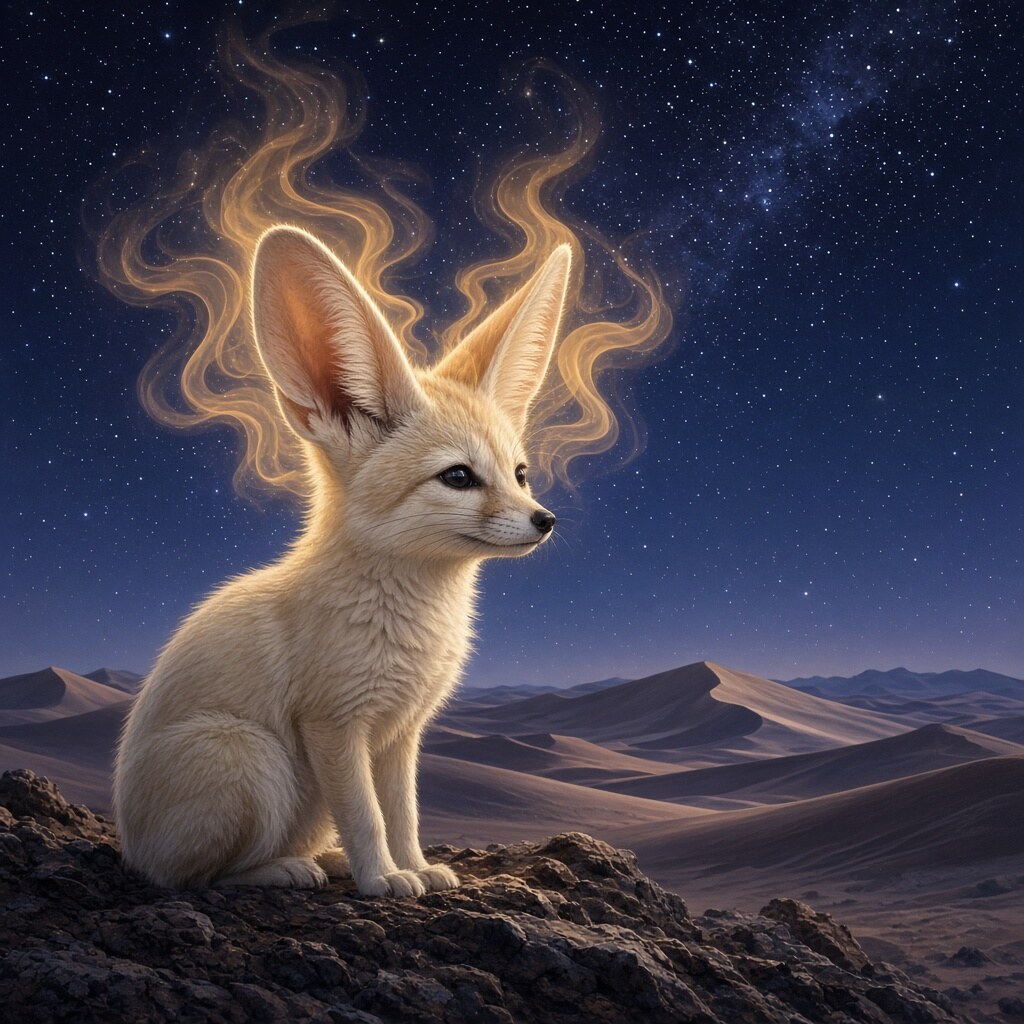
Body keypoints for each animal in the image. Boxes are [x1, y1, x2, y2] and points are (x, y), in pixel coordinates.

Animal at [113, 226, 570, 897]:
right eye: (458, 477)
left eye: (519, 473)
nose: (545, 520)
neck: (414, 614)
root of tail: (129, 846)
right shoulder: (334, 725)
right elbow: (364, 813)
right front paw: (382, 879)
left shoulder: (402, 733)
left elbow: (402, 813)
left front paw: (417, 867)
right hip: (249, 755)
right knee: (194, 877)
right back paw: (286, 869)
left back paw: (325, 862)